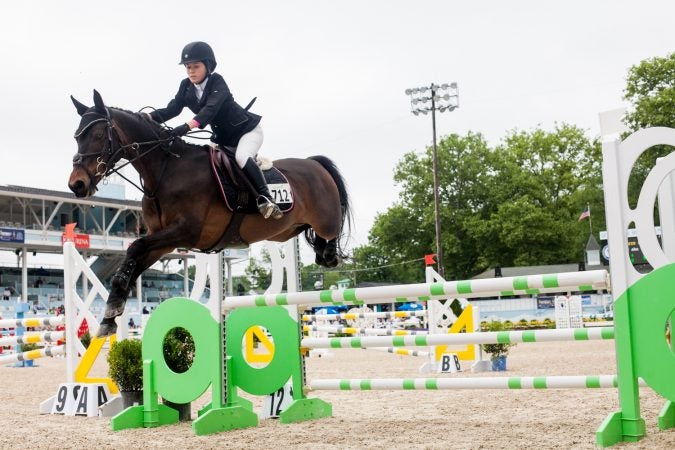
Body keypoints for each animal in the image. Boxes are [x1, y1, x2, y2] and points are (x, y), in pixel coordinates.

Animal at [69, 90, 354, 338]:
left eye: (98, 134)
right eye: (76, 137)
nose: (77, 184)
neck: (165, 171)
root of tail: (314, 164)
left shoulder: (186, 232)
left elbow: (134, 247)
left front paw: (112, 307)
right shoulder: (163, 241)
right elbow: (134, 261)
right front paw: (110, 315)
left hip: (324, 219)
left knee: (332, 230)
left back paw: (328, 254)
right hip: (286, 230)